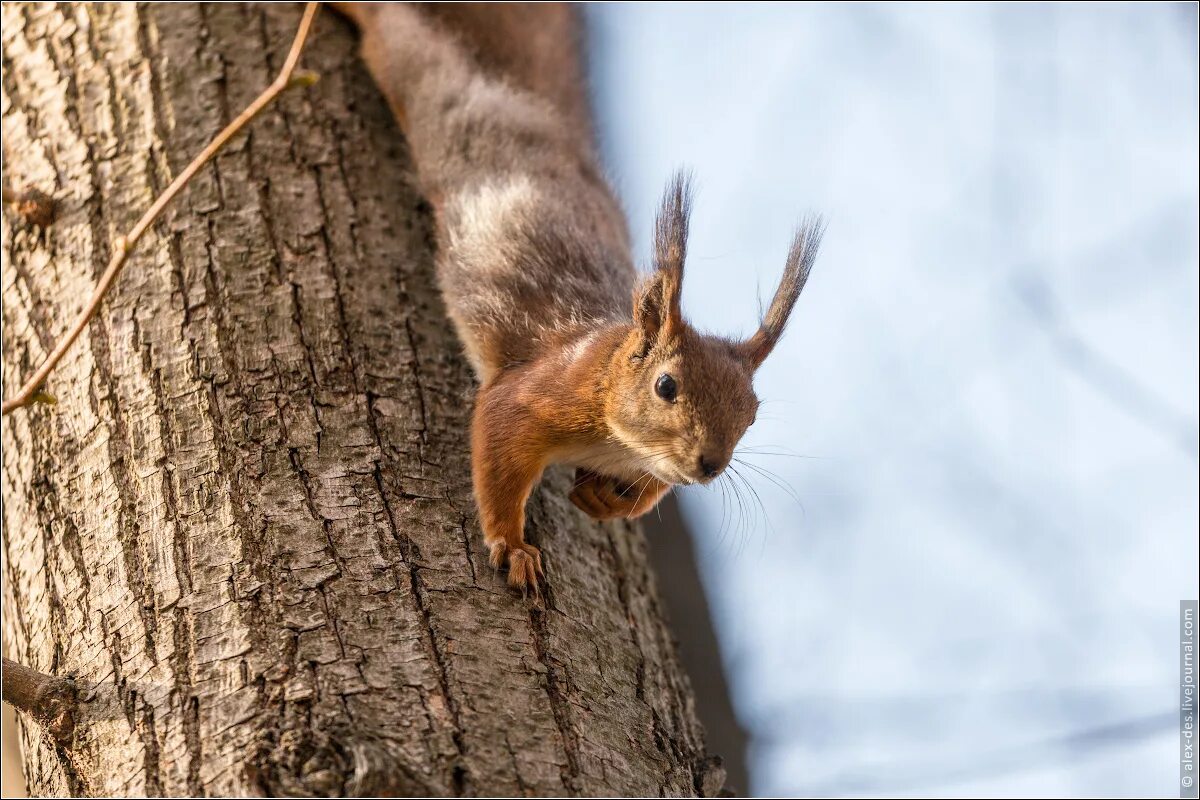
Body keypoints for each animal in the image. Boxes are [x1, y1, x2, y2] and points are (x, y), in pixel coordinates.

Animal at [338, 3, 825, 597]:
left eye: (752, 415)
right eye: (666, 386)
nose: (710, 465)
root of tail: (520, 103)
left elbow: (653, 489)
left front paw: (608, 501)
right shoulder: (535, 393)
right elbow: (496, 448)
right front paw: (513, 546)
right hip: (419, 81)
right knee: (396, 36)